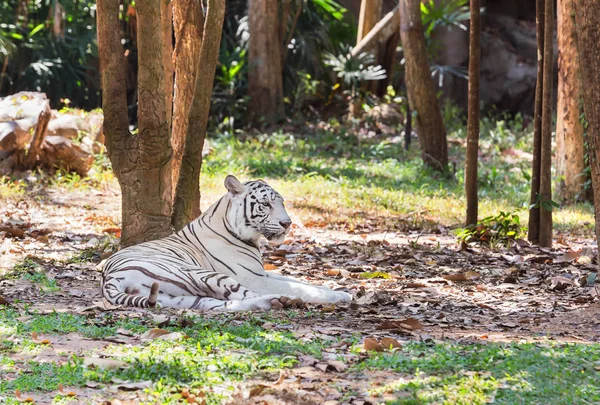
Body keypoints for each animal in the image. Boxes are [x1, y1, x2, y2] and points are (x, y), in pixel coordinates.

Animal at [99, 175, 352, 310]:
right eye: (266, 204)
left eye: (282, 203)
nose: (287, 223)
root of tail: (110, 277)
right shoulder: (253, 277)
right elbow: (299, 286)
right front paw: (340, 296)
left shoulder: (262, 272)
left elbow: (301, 281)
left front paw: (338, 289)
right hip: (204, 275)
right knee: (244, 295)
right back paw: (281, 300)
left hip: (181, 298)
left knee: (226, 304)